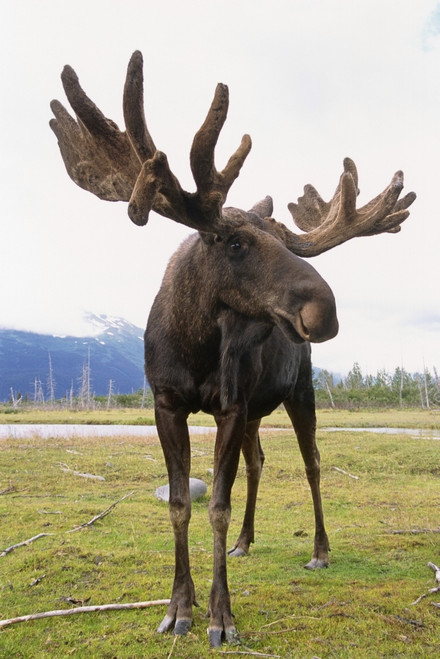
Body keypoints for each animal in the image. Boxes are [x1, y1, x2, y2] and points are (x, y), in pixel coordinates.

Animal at [50, 51, 416, 647]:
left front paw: (221, 616)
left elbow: (215, 506)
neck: (194, 346)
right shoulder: (169, 404)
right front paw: (180, 606)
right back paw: (247, 541)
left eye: (286, 243)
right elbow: (181, 504)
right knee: (259, 461)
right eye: (237, 242)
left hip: (297, 393)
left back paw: (320, 550)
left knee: (312, 462)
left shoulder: (228, 405)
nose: (327, 309)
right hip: (255, 410)